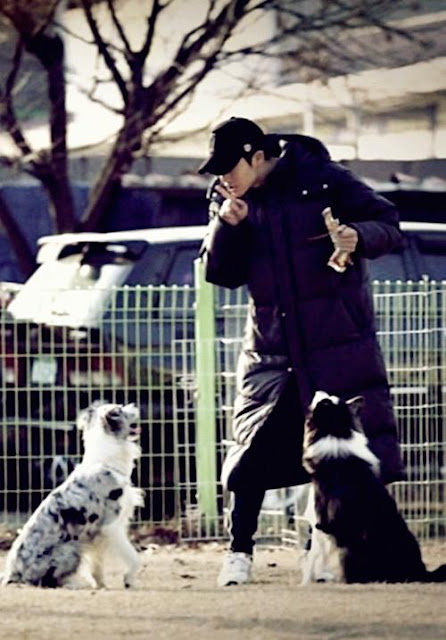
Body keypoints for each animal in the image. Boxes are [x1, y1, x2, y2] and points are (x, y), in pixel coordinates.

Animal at [1, 401, 144, 588]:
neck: (104, 462)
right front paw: (129, 580)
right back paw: (75, 584)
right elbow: (134, 557)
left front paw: (101, 586)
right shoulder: (111, 526)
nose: (135, 405)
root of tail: (11, 575)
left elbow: (97, 566)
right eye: (120, 409)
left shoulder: (96, 535)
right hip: (71, 549)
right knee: (48, 582)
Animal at [301, 390, 446, 584]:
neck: (337, 434)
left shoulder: (325, 511)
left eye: (325, 401)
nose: (318, 391)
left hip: (350, 550)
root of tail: (420, 572)